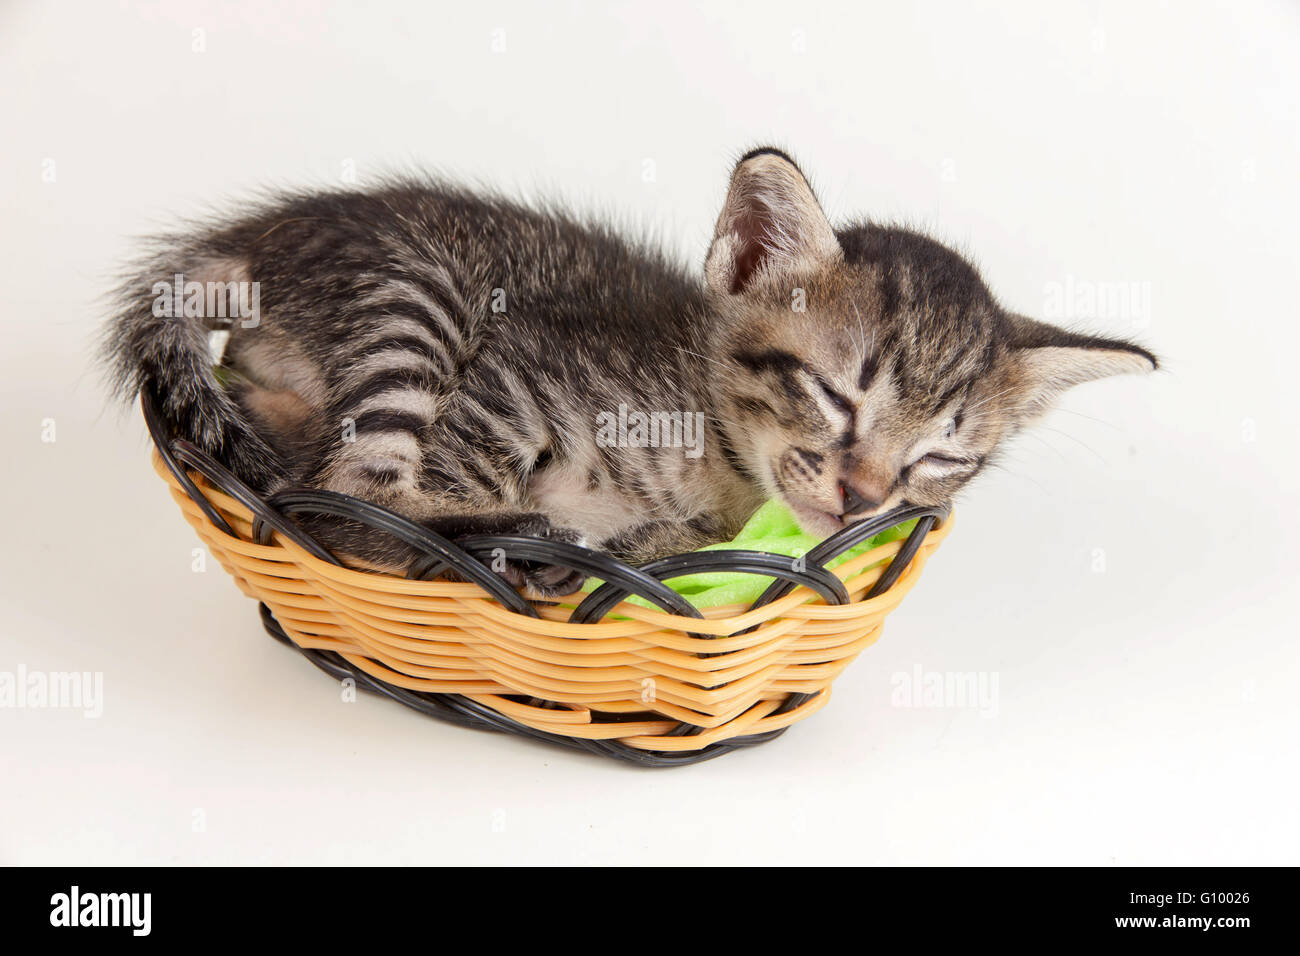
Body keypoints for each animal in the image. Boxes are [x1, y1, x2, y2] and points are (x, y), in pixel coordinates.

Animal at [104, 148, 1159, 595]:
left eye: (939, 460)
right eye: (832, 395)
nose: (861, 500)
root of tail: (257, 238)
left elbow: (677, 545)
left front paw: (640, 546)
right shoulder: (515, 374)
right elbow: (443, 479)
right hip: (419, 293)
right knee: (346, 497)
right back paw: (522, 543)